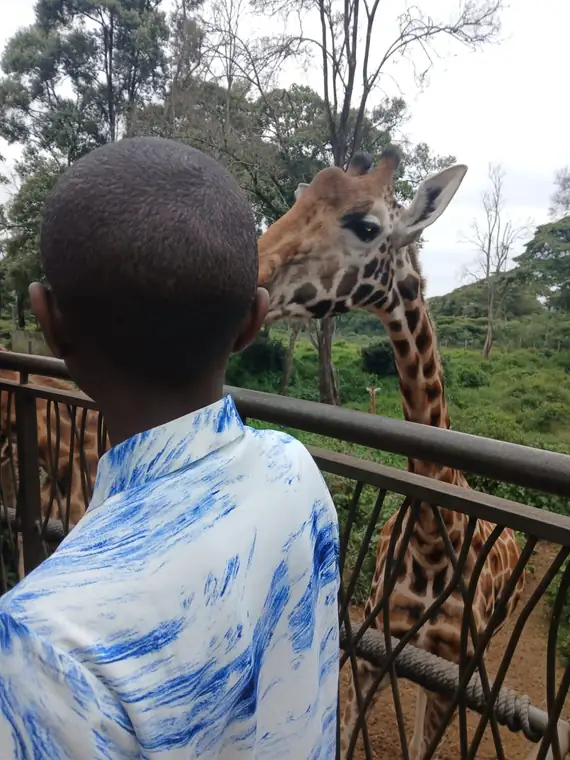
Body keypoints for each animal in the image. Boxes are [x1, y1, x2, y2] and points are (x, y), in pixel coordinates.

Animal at [256, 147, 531, 758]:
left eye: (367, 226)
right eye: (298, 198)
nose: (252, 274)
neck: (433, 535)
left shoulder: (450, 678)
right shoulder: (372, 648)